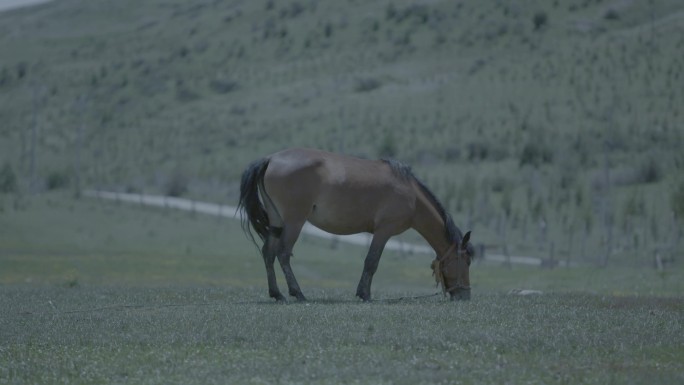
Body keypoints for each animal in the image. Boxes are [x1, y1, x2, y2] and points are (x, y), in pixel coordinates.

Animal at [238, 147, 472, 300]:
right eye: (467, 261)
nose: (465, 296)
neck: (411, 195)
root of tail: (270, 159)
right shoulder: (383, 232)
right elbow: (371, 262)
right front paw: (364, 294)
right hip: (294, 222)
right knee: (283, 254)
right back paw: (298, 293)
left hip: (277, 222)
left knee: (268, 253)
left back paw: (277, 294)